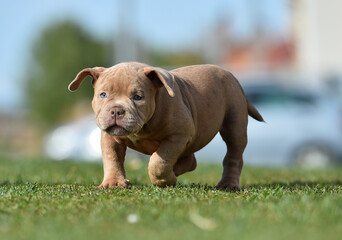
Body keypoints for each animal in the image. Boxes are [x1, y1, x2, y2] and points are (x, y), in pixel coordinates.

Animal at [68, 62, 264, 190]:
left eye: (138, 97)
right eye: (103, 94)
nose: (116, 111)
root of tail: (232, 76)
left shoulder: (178, 135)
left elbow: (159, 161)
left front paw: (164, 180)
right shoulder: (111, 137)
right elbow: (112, 158)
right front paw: (114, 183)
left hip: (234, 122)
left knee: (234, 153)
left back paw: (228, 185)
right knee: (190, 160)